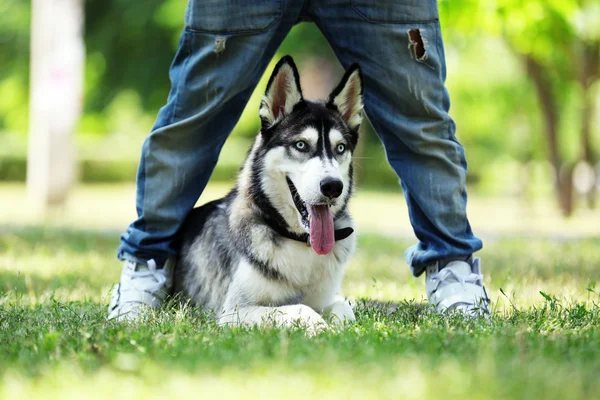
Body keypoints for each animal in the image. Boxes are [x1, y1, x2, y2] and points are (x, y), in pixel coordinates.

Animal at [171, 56, 364, 332]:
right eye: (301, 145)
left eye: (340, 148)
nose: (332, 186)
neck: (300, 242)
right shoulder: (234, 312)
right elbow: (300, 308)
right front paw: (320, 328)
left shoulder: (328, 298)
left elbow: (343, 309)